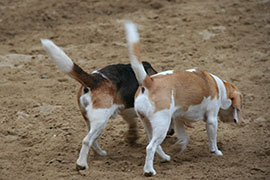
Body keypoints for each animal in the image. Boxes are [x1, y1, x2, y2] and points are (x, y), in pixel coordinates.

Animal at [40, 39, 157, 170]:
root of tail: (95, 79)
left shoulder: (127, 111)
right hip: (100, 120)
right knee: (87, 140)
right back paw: (81, 164)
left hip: (94, 121)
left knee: (92, 140)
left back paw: (100, 153)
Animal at [124, 21, 245, 176]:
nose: (237, 120)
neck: (219, 87)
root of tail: (149, 82)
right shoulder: (211, 120)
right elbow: (212, 139)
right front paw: (216, 152)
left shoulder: (178, 119)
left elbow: (184, 136)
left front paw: (181, 147)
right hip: (162, 125)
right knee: (150, 148)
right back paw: (149, 170)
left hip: (148, 124)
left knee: (154, 145)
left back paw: (165, 158)